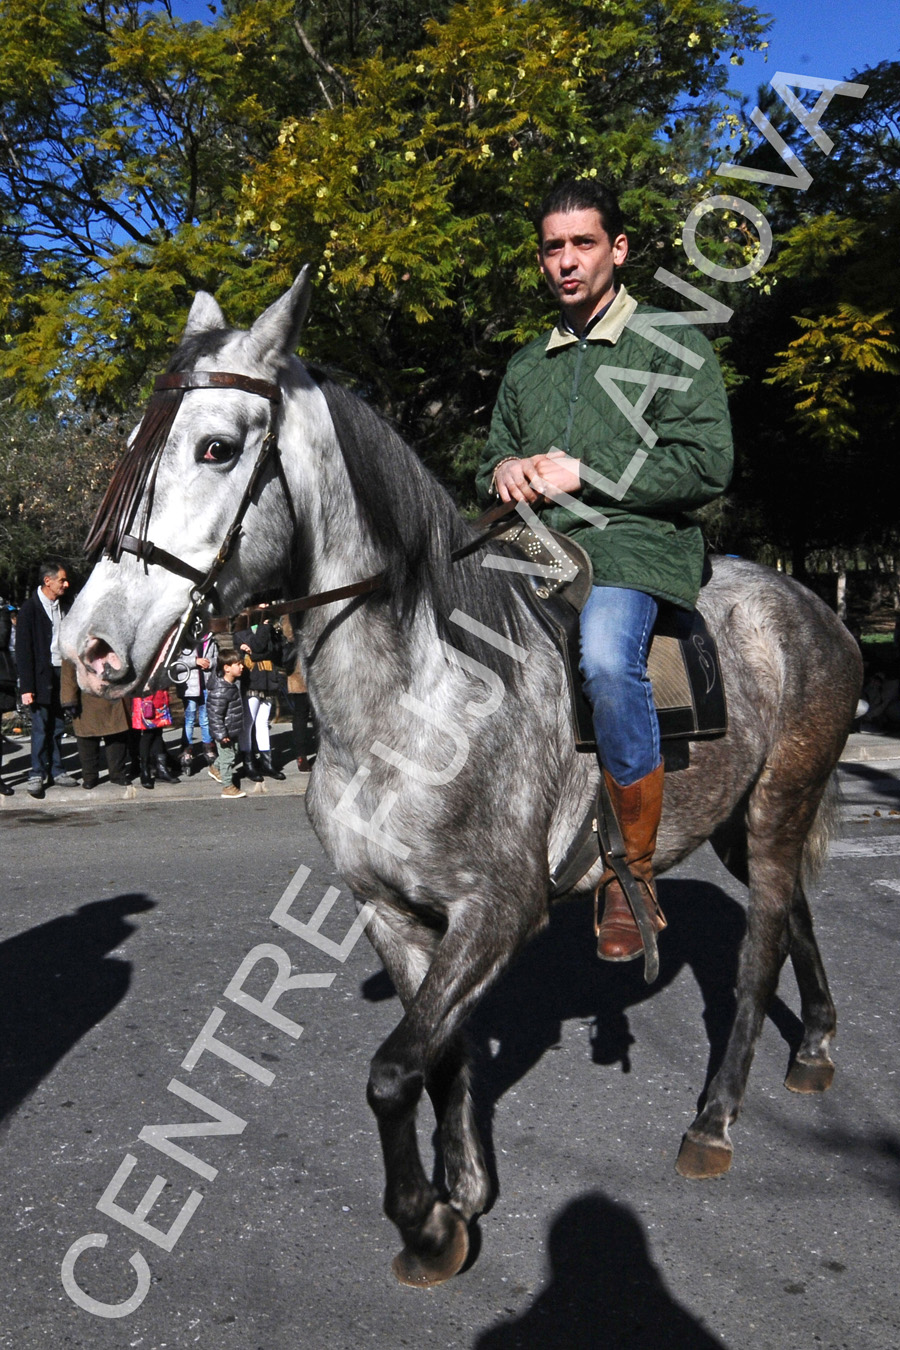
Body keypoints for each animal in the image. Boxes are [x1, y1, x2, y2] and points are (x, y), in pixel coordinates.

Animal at [63, 271, 863, 1285]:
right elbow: (434, 1055)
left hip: (776, 804)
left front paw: (424, 1220)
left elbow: (391, 1071)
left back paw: (715, 1119)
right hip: (739, 817)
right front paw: (463, 1193)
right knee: (792, 908)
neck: (415, 703)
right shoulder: (394, 913)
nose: (87, 647)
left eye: (217, 447)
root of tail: (811, 604)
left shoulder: (497, 911)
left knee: (760, 945)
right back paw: (817, 1046)